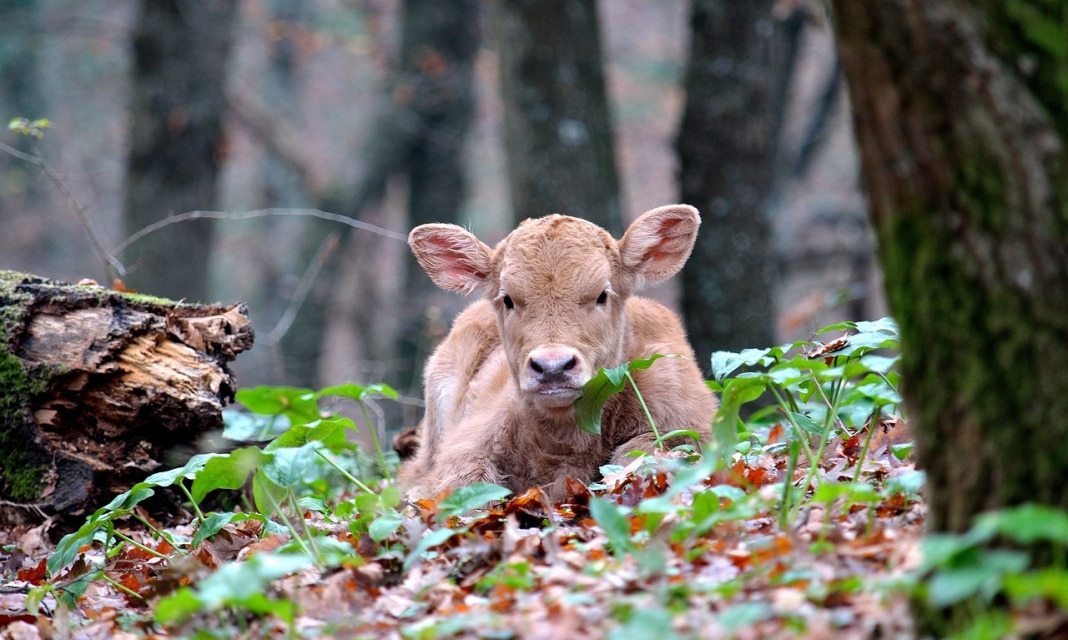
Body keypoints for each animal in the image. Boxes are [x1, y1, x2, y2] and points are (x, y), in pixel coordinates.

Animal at [401, 205, 717, 500]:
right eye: (508, 299)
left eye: (602, 294)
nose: (552, 366)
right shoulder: (464, 446)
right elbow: (465, 484)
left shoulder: (691, 424)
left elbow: (645, 451)